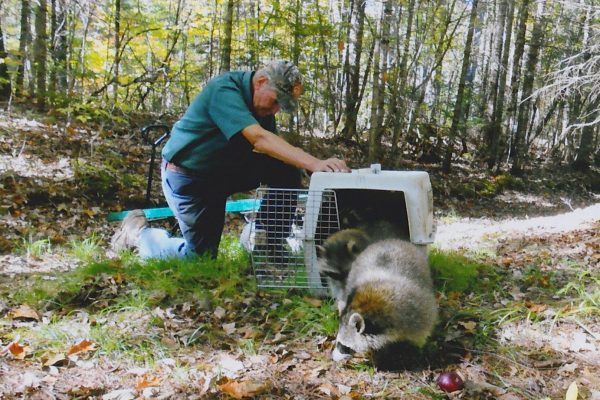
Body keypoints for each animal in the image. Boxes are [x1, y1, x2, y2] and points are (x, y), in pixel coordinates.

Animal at [316, 228, 438, 362]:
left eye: (344, 347)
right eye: (338, 342)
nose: (333, 358)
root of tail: (390, 240)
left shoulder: (415, 314)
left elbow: (422, 332)